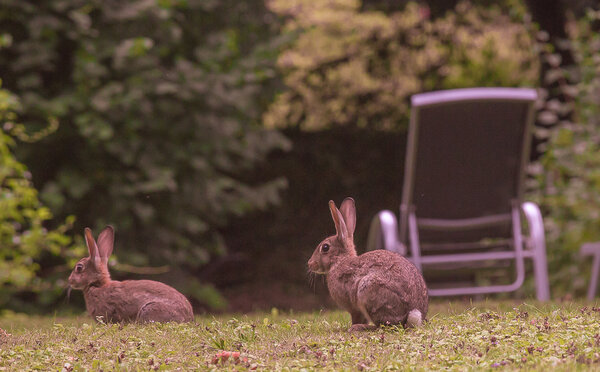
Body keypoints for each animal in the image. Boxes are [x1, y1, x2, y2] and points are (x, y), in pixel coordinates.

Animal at [310, 198, 426, 332]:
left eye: (325, 247)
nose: (310, 264)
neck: (340, 261)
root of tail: (412, 314)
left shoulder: (353, 307)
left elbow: (356, 316)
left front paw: (352, 326)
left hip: (369, 291)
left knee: (384, 325)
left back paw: (360, 327)